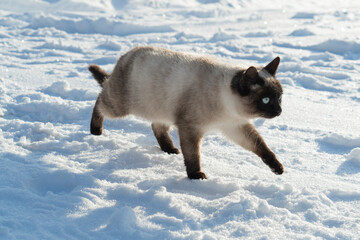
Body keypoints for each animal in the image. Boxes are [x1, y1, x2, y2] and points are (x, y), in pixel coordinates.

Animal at [88, 46, 284, 179]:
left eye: (279, 98)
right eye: (266, 100)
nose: (279, 111)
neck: (227, 107)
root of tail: (128, 53)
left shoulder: (234, 125)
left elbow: (261, 146)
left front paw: (278, 168)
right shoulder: (190, 128)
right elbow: (193, 156)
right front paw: (196, 176)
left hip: (160, 109)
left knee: (156, 126)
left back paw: (170, 150)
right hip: (120, 107)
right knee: (99, 101)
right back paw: (95, 131)